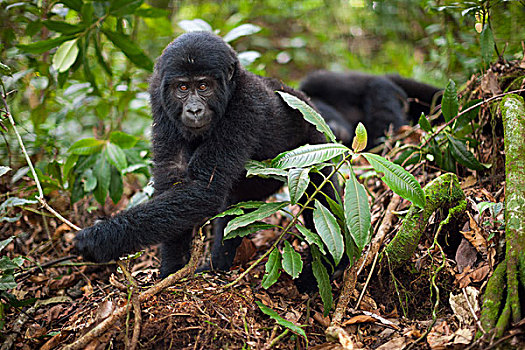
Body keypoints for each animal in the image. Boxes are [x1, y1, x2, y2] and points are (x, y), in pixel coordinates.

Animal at [73, 31, 332, 280]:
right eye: (182, 88)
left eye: (204, 86)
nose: (194, 110)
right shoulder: (159, 99)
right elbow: (174, 178)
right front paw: (172, 269)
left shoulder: (245, 105)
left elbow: (202, 189)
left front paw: (100, 238)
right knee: (236, 207)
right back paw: (220, 265)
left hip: (316, 141)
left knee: (320, 192)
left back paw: (329, 269)